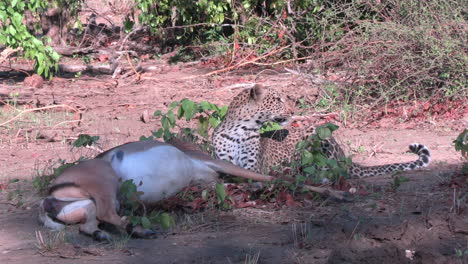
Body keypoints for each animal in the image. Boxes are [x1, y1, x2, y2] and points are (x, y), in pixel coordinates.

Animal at [212, 85, 432, 178]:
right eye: (277, 100)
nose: (293, 111)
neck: (240, 130)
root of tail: (344, 157)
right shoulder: (223, 162)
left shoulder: (253, 167)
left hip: (316, 132)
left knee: (334, 171)